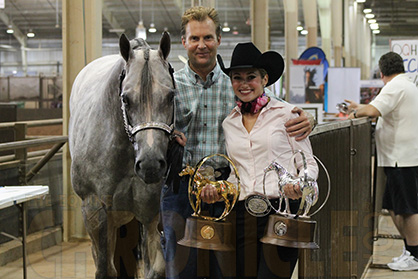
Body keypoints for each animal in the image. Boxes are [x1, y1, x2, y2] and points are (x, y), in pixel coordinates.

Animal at [68, 31, 175, 278]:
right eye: (125, 98)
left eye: (170, 96)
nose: (150, 165)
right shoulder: (95, 211)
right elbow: (105, 269)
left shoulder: (151, 213)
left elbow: (156, 268)